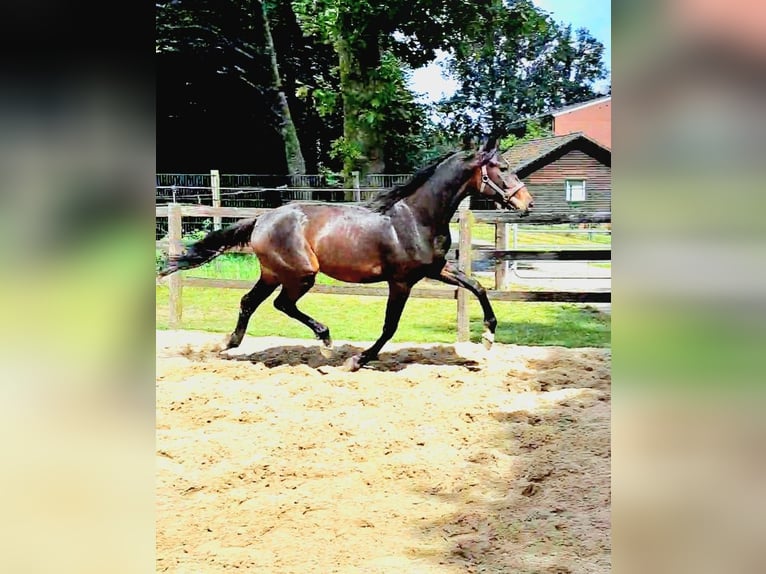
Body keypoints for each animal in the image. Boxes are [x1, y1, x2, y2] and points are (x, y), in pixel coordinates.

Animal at [158, 140, 536, 374]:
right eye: (502, 168)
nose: (527, 203)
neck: (416, 216)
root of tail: (262, 219)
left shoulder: (436, 268)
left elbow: (476, 287)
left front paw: (488, 337)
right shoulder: (401, 281)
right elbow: (389, 326)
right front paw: (357, 360)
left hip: (273, 273)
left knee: (249, 301)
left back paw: (229, 343)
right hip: (300, 274)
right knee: (282, 304)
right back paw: (325, 341)